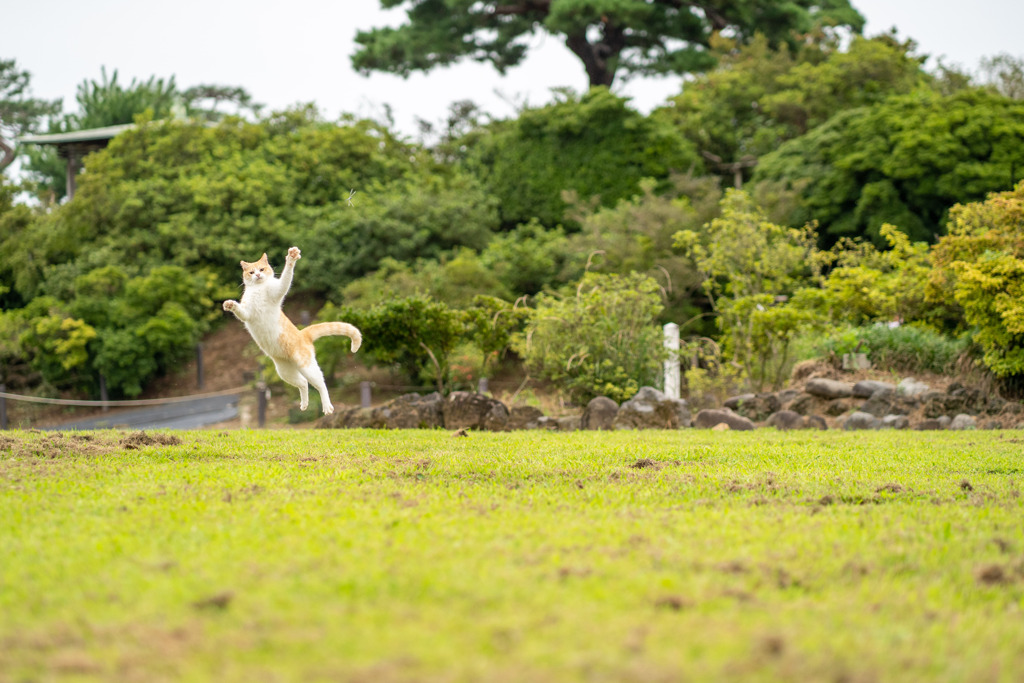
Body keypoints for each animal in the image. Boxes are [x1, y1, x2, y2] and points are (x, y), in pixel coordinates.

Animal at [222, 246, 362, 417]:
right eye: (251, 272)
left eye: (262, 269)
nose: (258, 275)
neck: (259, 289)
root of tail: (303, 334)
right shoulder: (247, 313)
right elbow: (240, 311)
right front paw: (229, 304)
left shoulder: (277, 292)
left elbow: (286, 279)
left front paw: (291, 258)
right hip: (285, 371)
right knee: (303, 383)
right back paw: (304, 404)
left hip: (306, 366)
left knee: (321, 384)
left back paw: (327, 407)